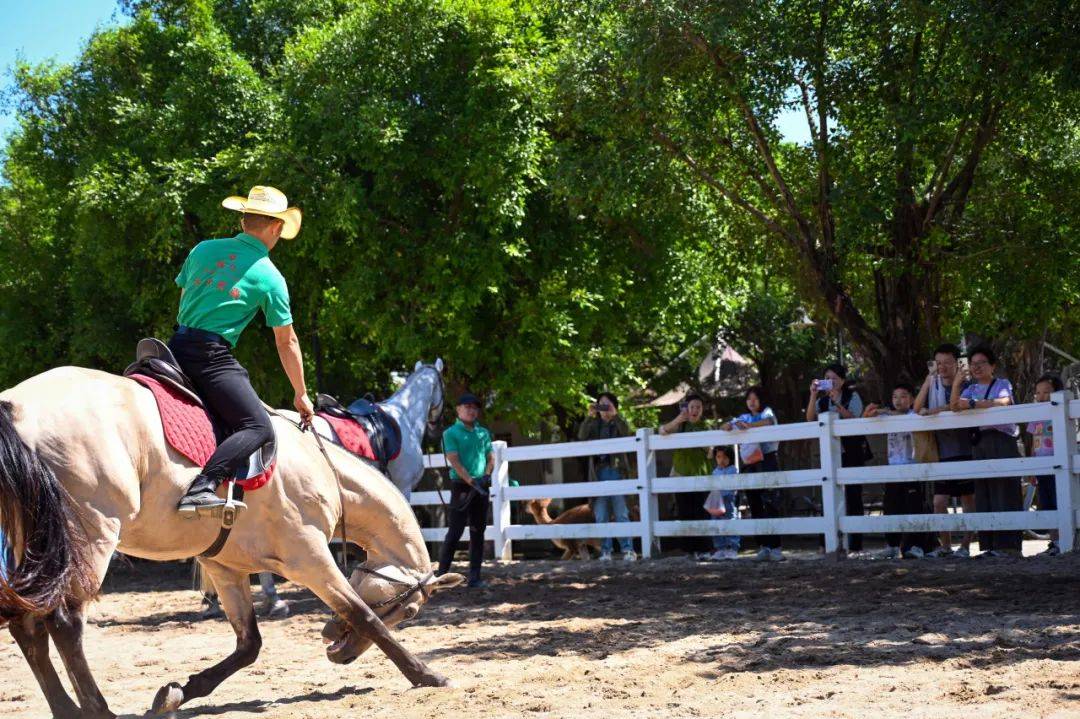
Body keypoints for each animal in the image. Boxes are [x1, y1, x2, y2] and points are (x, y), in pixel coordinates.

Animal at [0, 364, 460, 716]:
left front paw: (179, 693)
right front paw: (426, 674)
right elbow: (365, 615)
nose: (336, 647)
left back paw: (66, 708)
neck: (321, 468)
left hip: (35, 545)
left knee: (27, 624)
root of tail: (16, 406)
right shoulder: (309, 558)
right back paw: (96, 709)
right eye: (411, 611)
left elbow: (248, 645)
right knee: (64, 624)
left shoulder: (225, 567)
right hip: (90, 539)